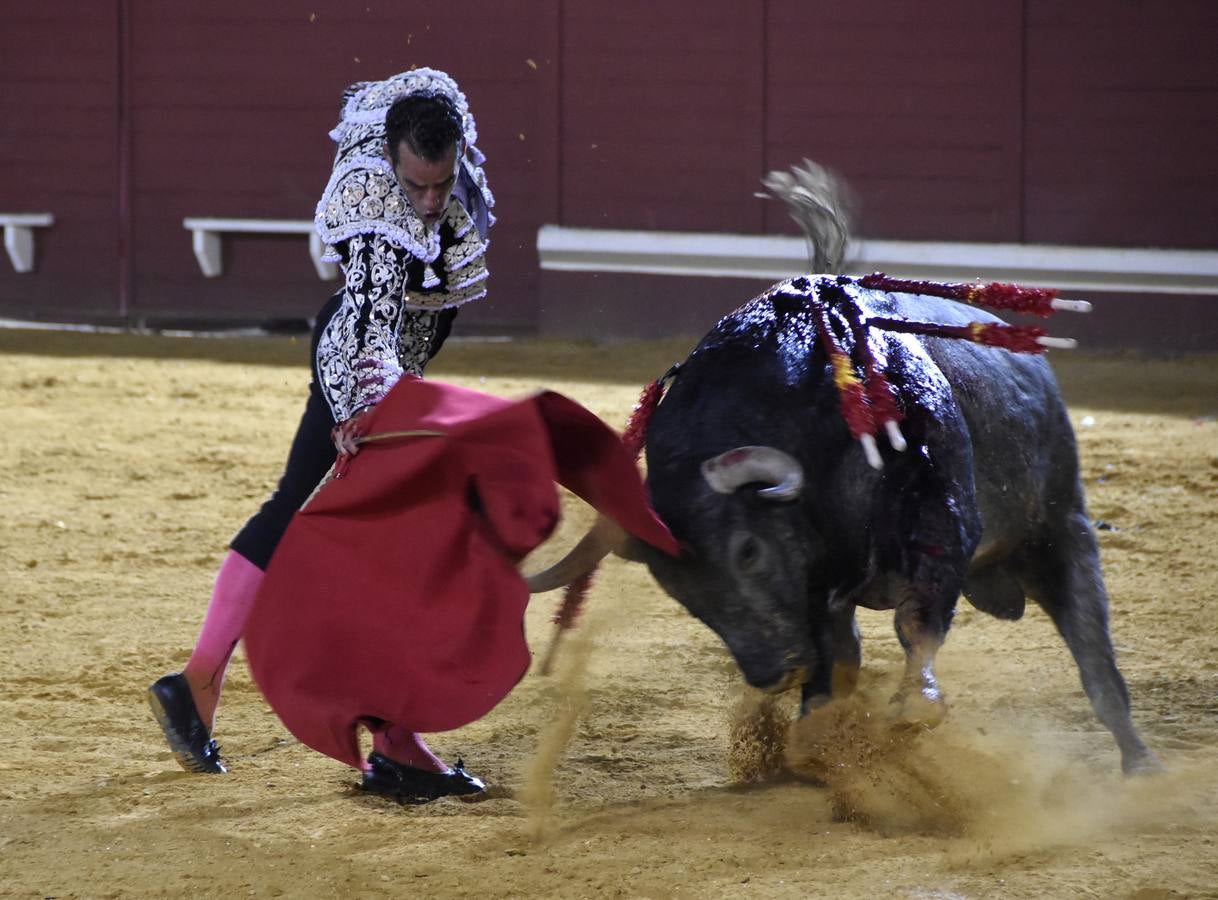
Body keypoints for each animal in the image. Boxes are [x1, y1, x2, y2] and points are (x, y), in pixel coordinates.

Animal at [535, 274, 1159, 774]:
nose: (772, 673)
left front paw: (913, 707)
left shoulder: (941, 518)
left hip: (1061, 528)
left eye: (747, 552)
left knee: (1093, 651)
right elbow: (836, 659)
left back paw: (1141, 763)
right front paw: (814, 740)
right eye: (675, 587)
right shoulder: (818, 593)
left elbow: (917, 619)